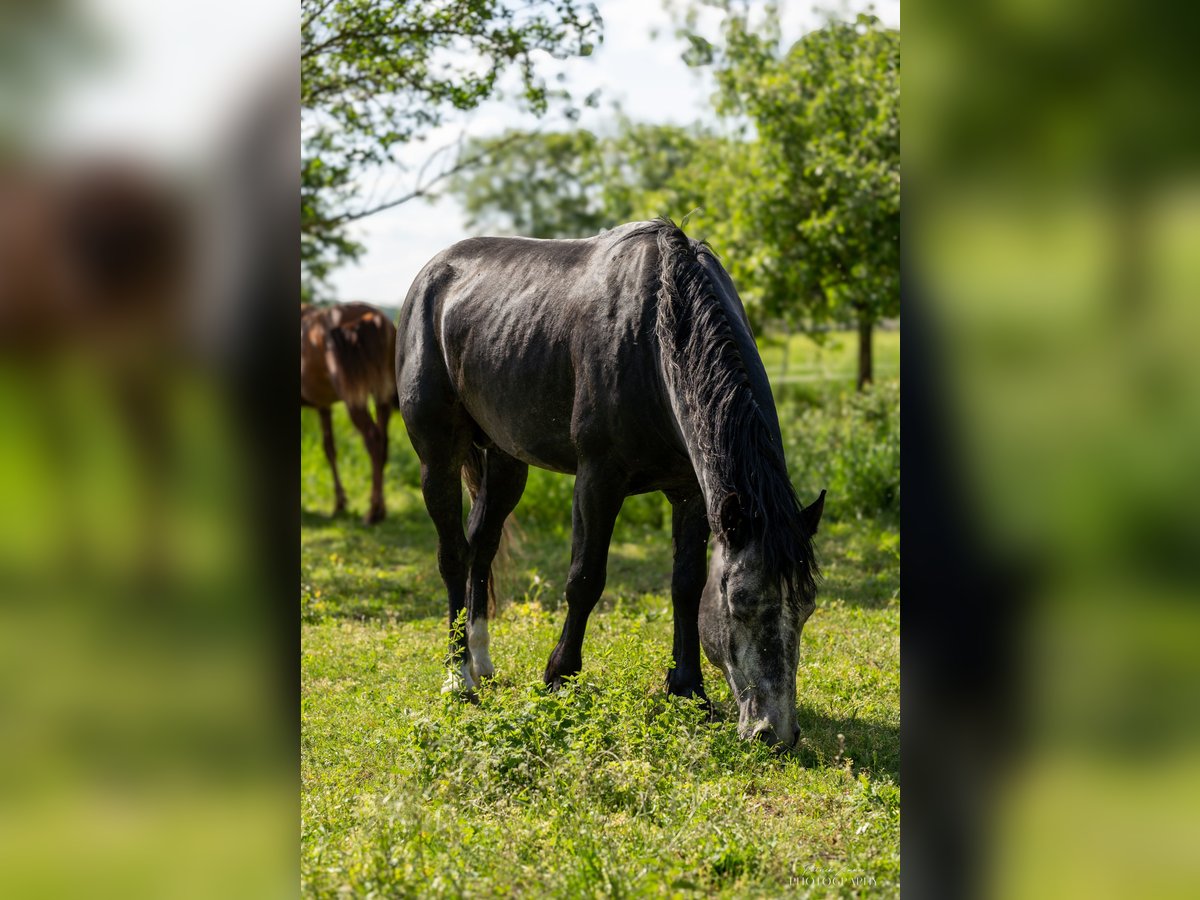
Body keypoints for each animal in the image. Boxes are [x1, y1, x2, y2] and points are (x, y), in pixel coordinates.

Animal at [300, 301, 398, 520]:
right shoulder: (324, 406)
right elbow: (329, 449)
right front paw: (340, 503)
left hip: (353, 398)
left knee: (373, 439)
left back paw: (373, 511)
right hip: (382, 394)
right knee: (384, 442)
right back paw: (381, 509)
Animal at [393, 218, 825, 748]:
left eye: (806, 608)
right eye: (740, 604)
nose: (775, 732)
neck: (656, 334)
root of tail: (433, 273)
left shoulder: (691, 494)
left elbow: (686, 585)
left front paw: (688, 691)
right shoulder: (598, 479)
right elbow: (585, 579)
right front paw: (559, 677)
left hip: (506, 461)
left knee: (482, 547)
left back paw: (482, 662)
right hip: (438, 457)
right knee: (454, 554)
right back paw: (458, 677)